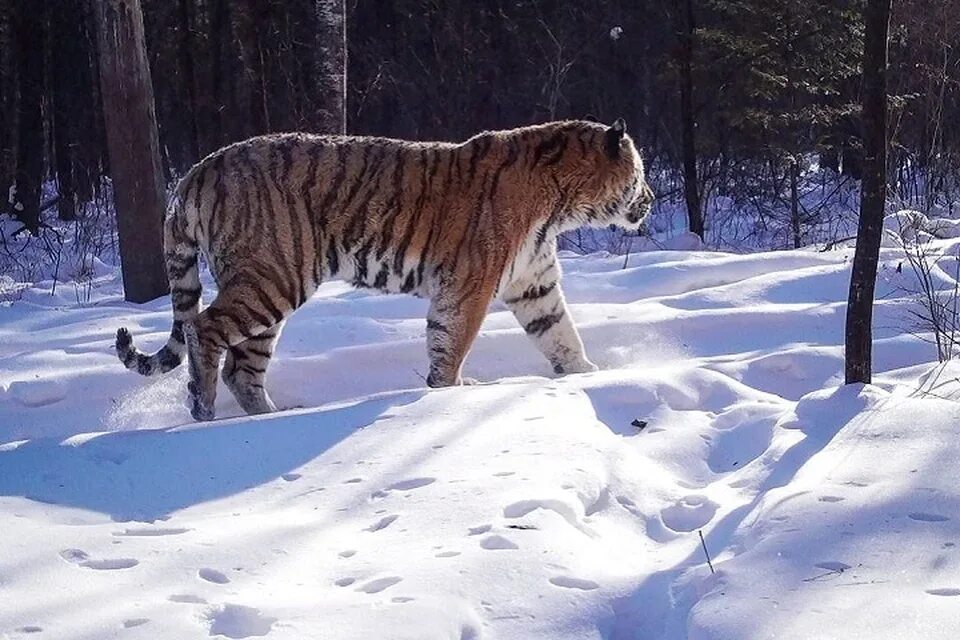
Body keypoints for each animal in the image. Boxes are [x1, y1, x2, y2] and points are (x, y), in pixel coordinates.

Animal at [112, 119, 652, 420]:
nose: (649, 197)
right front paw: (450, 393)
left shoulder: (533, 283)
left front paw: (586, 375)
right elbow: (453, 342)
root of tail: (197, 170)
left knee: (241, 369)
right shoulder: (470, 284)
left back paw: (268, 418)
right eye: (642, 173)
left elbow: (560, 333)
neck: (561, 206)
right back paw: (204, 411)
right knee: (204, 331)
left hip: (268, 289)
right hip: (272, 277)